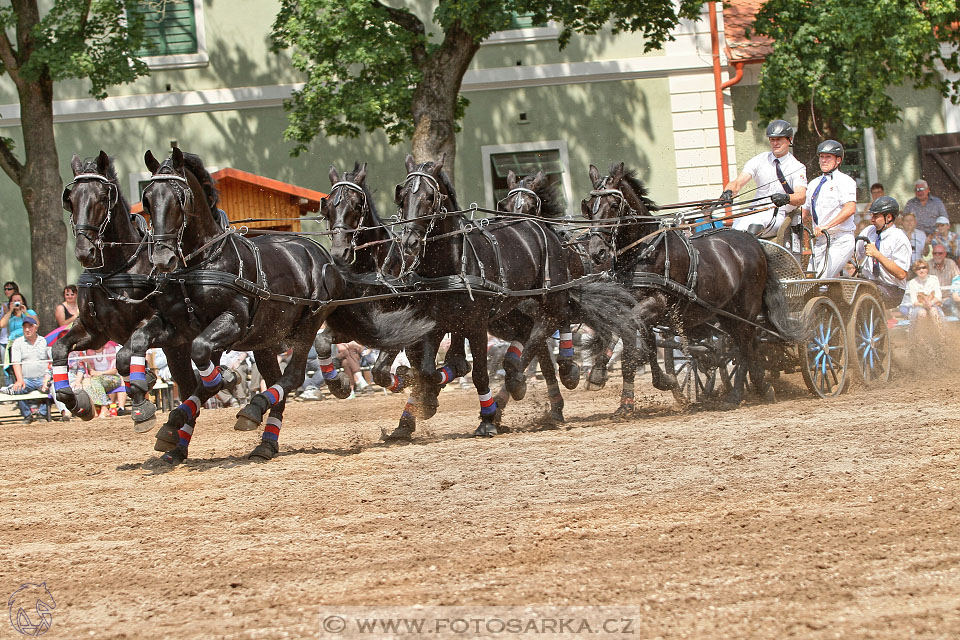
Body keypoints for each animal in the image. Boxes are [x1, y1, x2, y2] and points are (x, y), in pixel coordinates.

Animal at [55, 151, 201, 432]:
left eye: (103, 197)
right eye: (72, 199)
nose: (84, 251)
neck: (114, 271)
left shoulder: (149, 322)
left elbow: (123, 357)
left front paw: (143, 397)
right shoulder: (95, 332)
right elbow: (58, 349)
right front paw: (77, 402)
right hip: (177, 346)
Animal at [115, 148, 428, 462]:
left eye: (179, 198)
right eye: (147, 198)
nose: (161, 258)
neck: (203, 263)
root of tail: (325, 258)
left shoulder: (233, 322)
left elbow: (202, 358)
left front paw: (220, 382)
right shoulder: (175, 326)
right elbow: (129, 350)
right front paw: (142, 402)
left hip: (308, 323)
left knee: (293, 376)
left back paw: (253, 409)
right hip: (265, 338)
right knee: (276, 379)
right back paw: (263, 441)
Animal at [584, 162, 804, 408]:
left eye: (614, 205)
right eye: (589, 207)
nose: (596, 251)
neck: (646, 249)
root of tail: (753, 240)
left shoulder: (657, 302)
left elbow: (625, 327)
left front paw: (600, 373)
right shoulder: (641, 309)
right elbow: (642, 341)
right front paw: (661, 381)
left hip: (746, 309)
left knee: (746, 347)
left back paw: (746, 392)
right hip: (726, 314)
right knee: (742, 347)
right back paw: (752, 388)